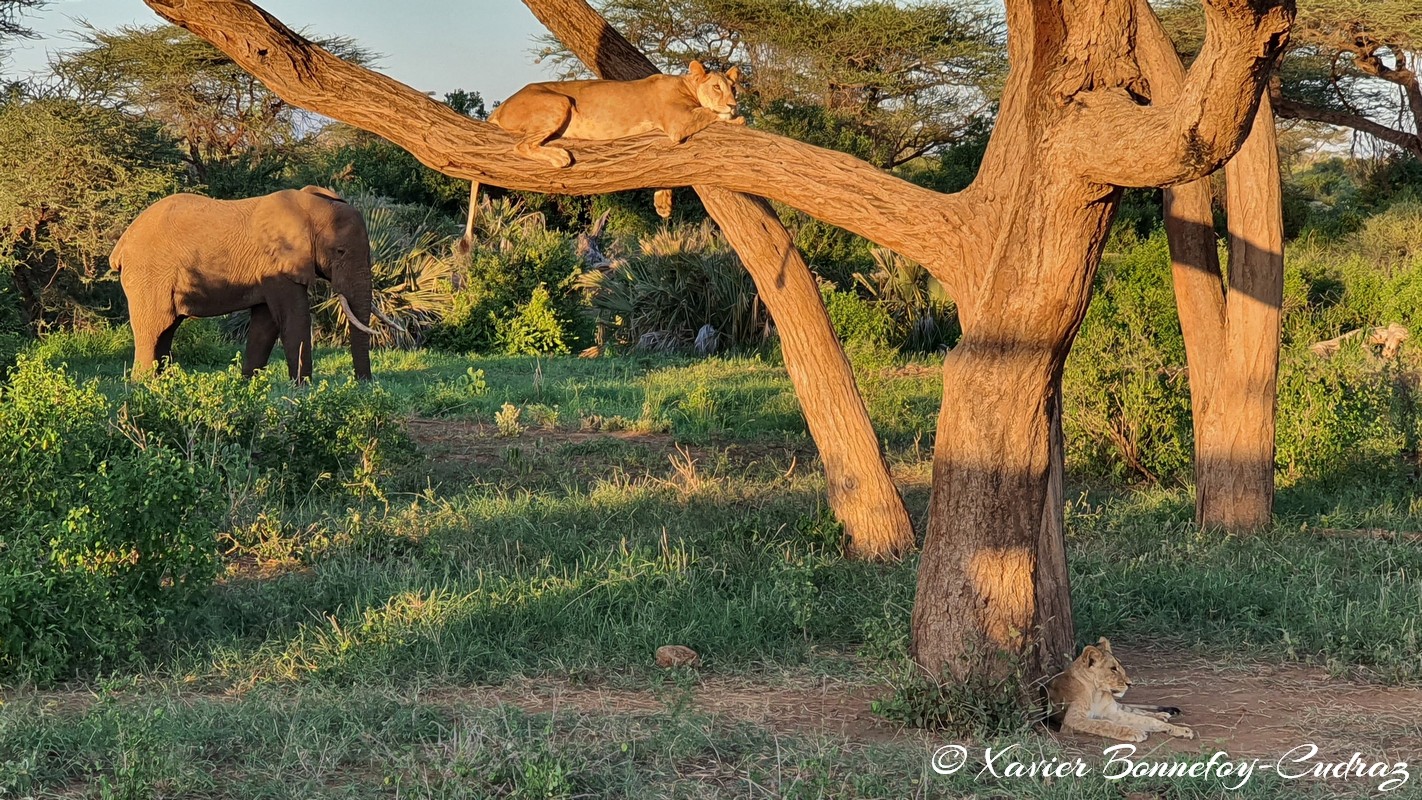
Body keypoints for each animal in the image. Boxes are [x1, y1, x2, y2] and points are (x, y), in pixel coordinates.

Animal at [111, 186, 381, 380]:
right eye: (340, 252)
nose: (363, 383)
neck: (309, 207)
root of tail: (121, 245)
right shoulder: (276, 262)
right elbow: (294, 318)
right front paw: (303, 388)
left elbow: (266, 324)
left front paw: (249, 384)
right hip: (148, 274)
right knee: (154, 328)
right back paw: (144, 385)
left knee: (166, 330)